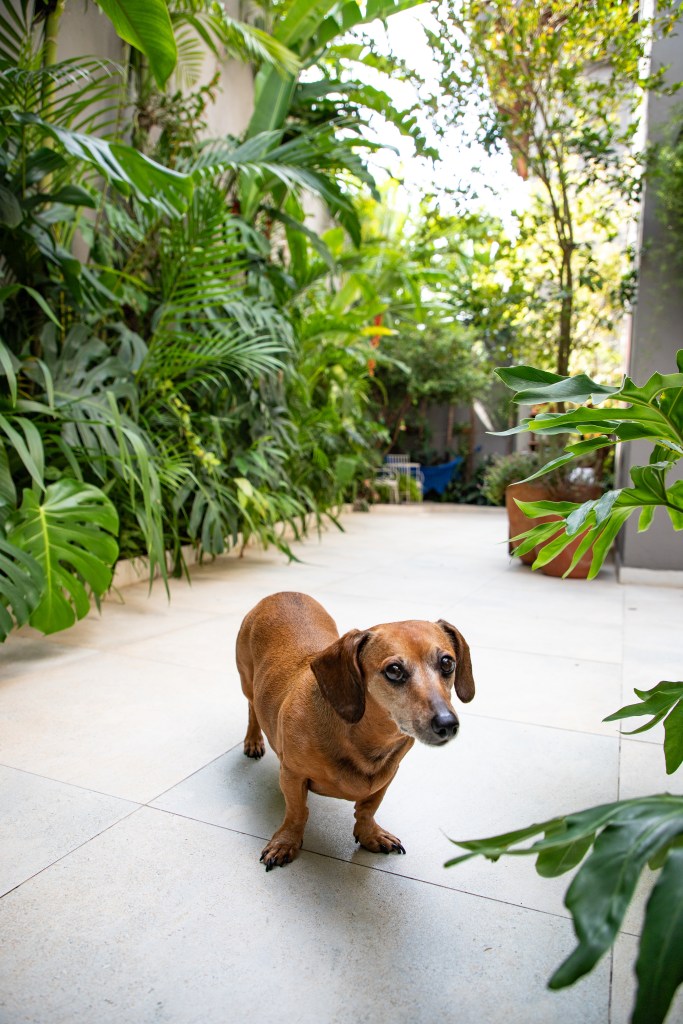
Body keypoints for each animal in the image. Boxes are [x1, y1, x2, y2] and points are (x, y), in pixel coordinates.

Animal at [235, 593, 475, 872]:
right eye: (394, 670)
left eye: (447, 663)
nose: (447, 724)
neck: (362, 738)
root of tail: (282, 594)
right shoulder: (293, 776)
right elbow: (296, 813)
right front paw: (286, 842)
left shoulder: (386, 778)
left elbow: (368, 808)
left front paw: (370, 834)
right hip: (247, 681)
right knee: (252, 708)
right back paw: (253, 741)